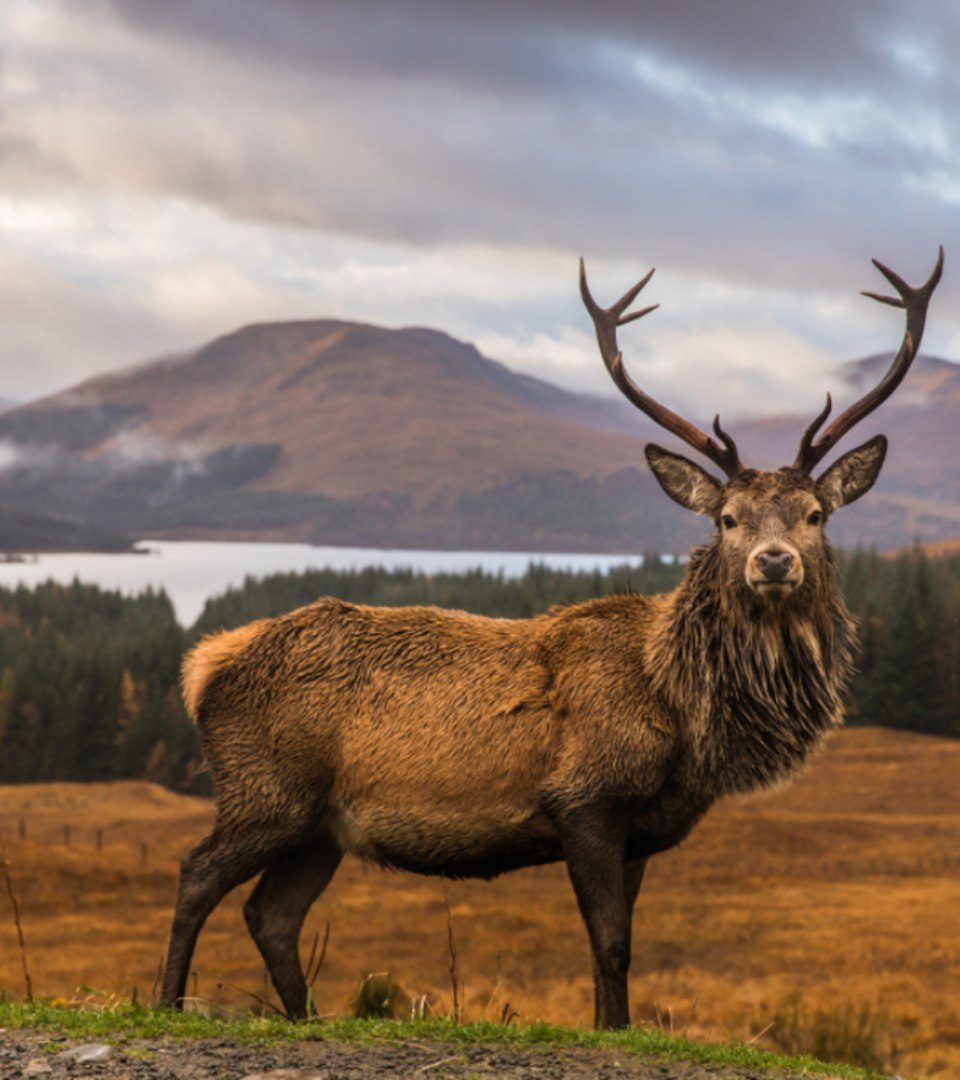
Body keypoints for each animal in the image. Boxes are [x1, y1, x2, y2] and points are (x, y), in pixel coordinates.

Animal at [160, 247, 941, 1028]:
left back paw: (305, 1017)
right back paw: (169, 1002)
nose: (772, 562)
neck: (682, 713)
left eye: (815, 515)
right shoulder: (583, 797)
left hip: (320, 826)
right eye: (728, 519)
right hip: (267, 789)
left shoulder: (641, 830)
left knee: (271, 915)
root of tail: (203, 666)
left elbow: (615, 946)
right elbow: (611, 942)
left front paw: (611, 1025)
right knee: (197, 873)